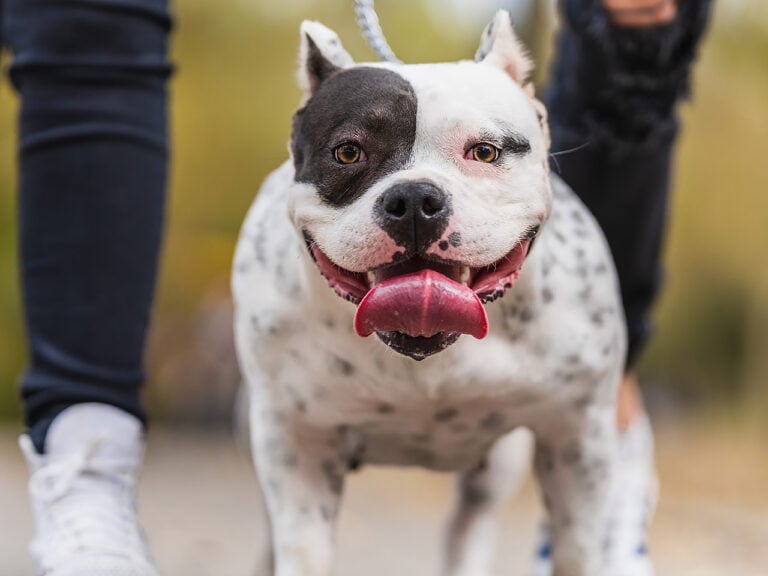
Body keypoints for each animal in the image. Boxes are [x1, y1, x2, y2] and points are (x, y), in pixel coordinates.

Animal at [234, 12, 632, 576]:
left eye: (485, 151)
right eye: (348, 152)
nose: (415, 199)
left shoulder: (577, 439)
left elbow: (578, 550)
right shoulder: (296, 442)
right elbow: (304, 550)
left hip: (497, 469)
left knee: (471, 522)